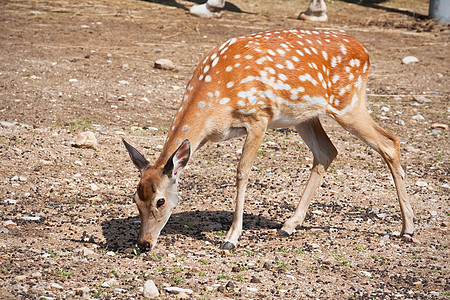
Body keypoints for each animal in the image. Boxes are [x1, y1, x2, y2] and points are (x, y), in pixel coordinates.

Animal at [124, 29, 414, 251]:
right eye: (135, 199)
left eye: (160, 201)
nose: (144, 244)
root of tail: (365, 52)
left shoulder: (258, 117)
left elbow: (242, 171)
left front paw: (231, 238)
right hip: (305, 117)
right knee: (327, 151)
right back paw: (289, 225)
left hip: (348, 104)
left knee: (390, 142)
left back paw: (408, 228)